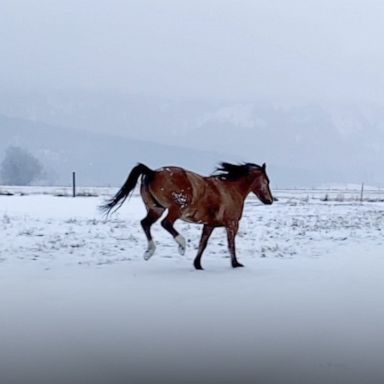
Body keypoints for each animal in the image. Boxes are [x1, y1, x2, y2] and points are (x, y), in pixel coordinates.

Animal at [100, 162, 272, 270]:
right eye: (267, 181)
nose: (270, 200)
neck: (231, 190)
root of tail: (152, 172)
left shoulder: (209, 225)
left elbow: (203, 244)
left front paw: (197, 265)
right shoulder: (232, 224)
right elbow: (231, 245)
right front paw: (236, 264)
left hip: (156, 209)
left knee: (145, 223)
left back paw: (149, 252)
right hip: (176, 209)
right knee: (166, 224)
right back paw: (181, 245)